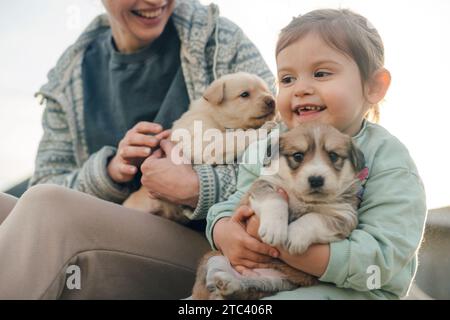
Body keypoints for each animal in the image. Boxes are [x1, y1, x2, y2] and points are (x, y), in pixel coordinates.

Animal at [122, 72, 274, 222]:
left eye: (267, 90)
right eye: (244, 94)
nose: (272, 100)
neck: (214, 115)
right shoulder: (206, 143)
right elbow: (236, 137)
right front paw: (263, 129)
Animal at [191, 123, 366, 300]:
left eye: (333, 156)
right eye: (298, 156)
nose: (316, 180)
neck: (302, 198)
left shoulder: (345, 215)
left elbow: (315, 217)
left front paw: (295, 236)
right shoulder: (265, 185)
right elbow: (276, 199)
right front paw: (274, 229)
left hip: (273, 282)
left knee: (246, 286)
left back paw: (228, 284)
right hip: (214, 256)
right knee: (215, 271)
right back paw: (218, 283)